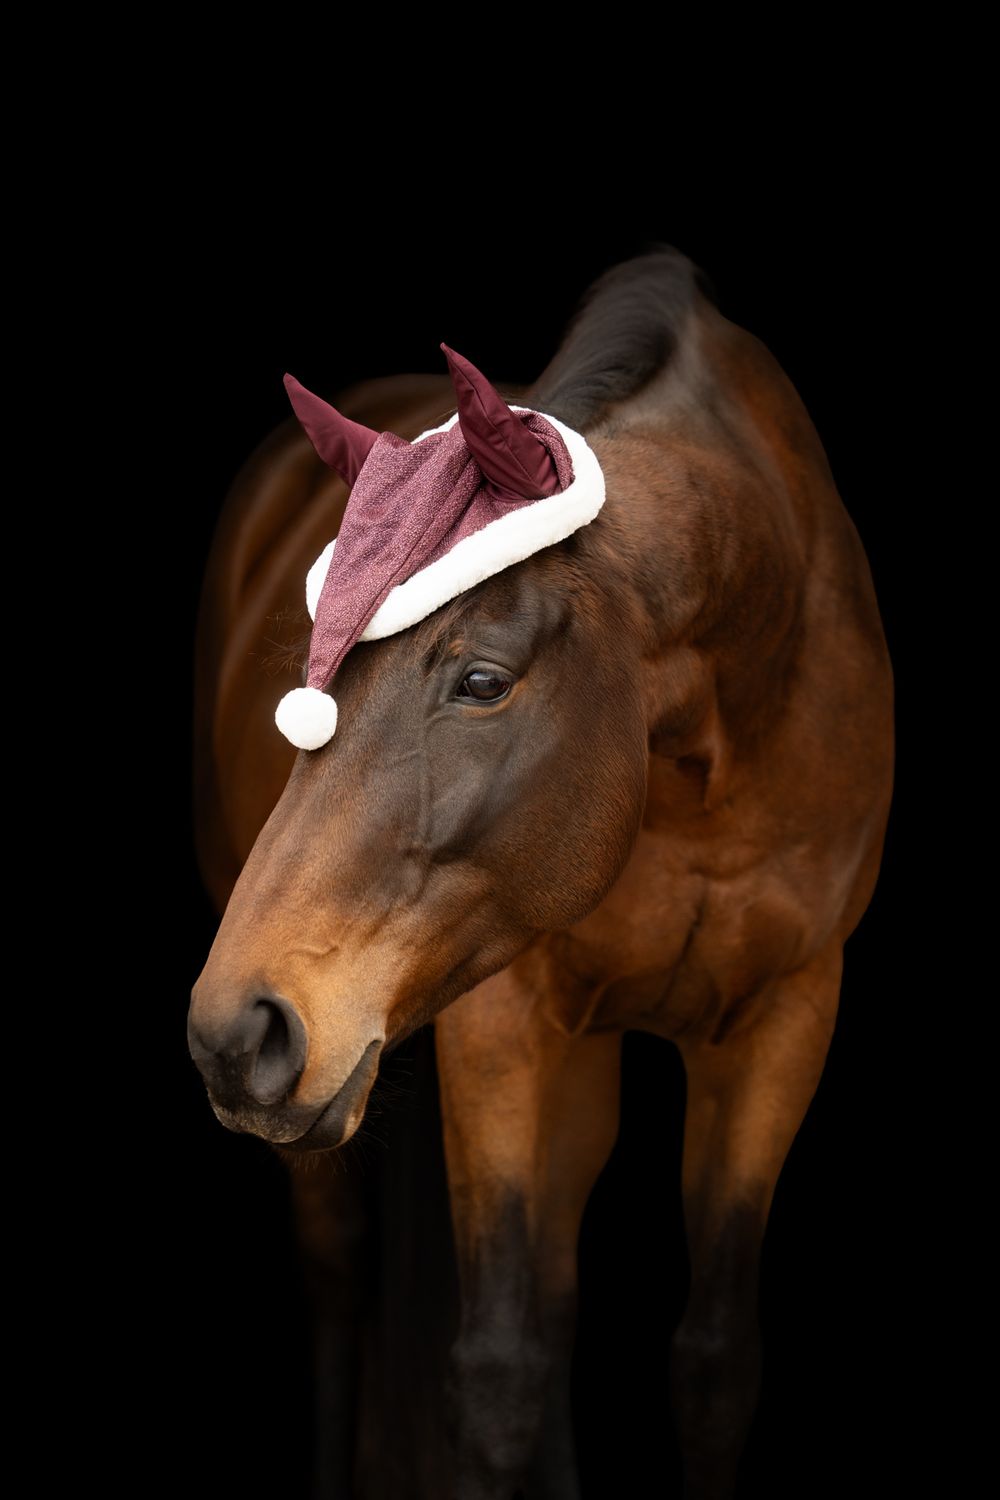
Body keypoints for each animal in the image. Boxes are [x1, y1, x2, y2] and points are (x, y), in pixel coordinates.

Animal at [189, 244, 894, 1499]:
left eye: (481, 679)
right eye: (307, 678)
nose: (235, 1030)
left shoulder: (784, 1019)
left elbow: (713, 1364)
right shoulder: (505, 1025)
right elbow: (500, 1370)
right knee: (341, 1276)